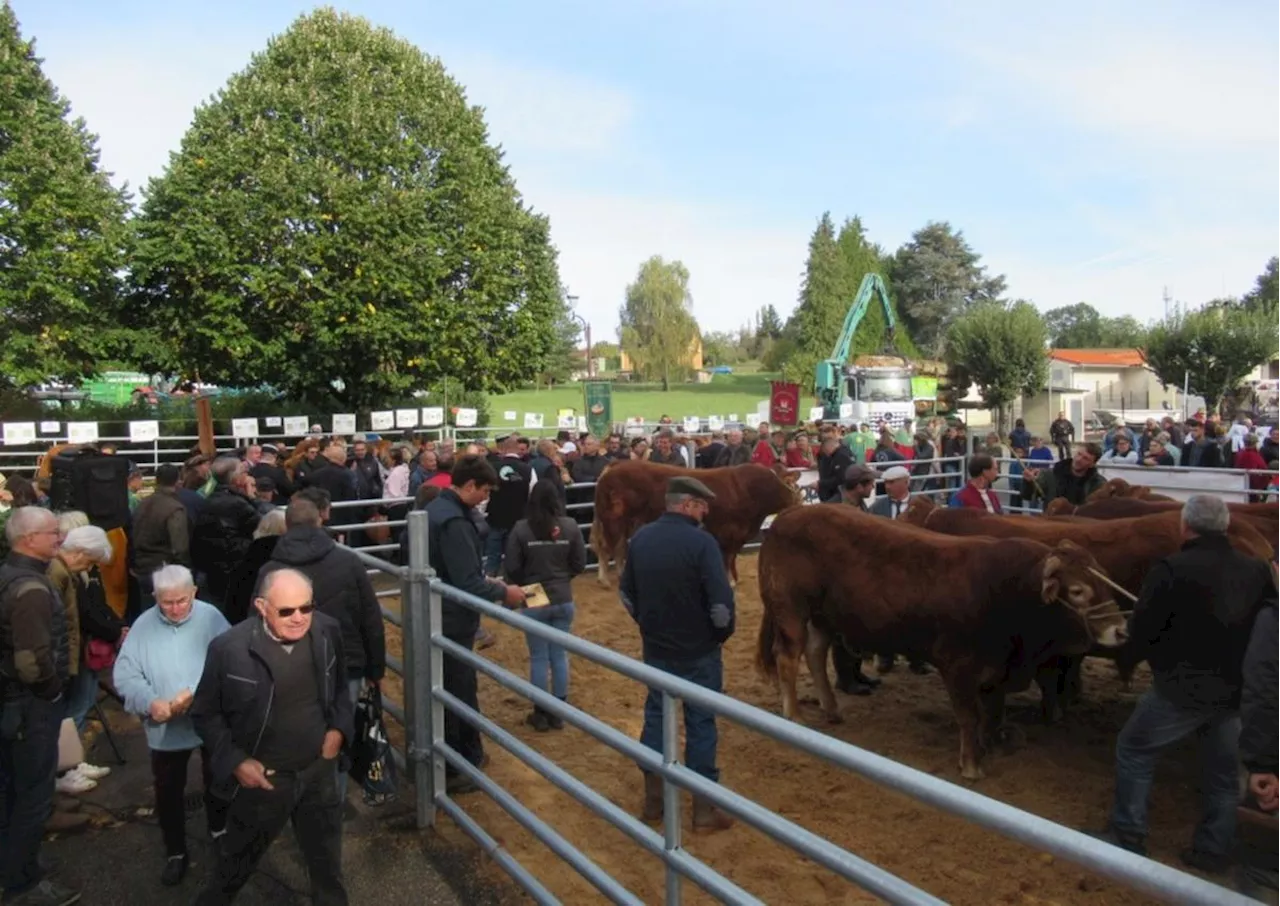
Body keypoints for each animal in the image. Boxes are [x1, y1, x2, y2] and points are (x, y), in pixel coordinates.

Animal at [591, 460, 798, 588]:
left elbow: (732, 557)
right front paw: (729, 581)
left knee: (619, 548)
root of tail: (616, 465)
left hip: (626, 522)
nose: (797, 501)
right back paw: (604, 579)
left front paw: (734, 579)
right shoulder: (728, 531)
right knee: (607, 547)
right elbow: (727, 557)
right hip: (612, 519)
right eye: (790, 484)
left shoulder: (739, 534)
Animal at [752, 506, 1126, 783]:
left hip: (825, 616)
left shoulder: (997, 668)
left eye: (1106, 580)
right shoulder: (957, 666)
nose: (1121, 630)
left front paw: (990, 744)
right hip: (791, 609)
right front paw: (971, 765)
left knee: (815, 653)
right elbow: (969, 715)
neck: (1003, 590)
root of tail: (787, 517)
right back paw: (795, 714)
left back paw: (831, 709)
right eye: (1077, 590)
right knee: (788, 657)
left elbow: (993, 712)